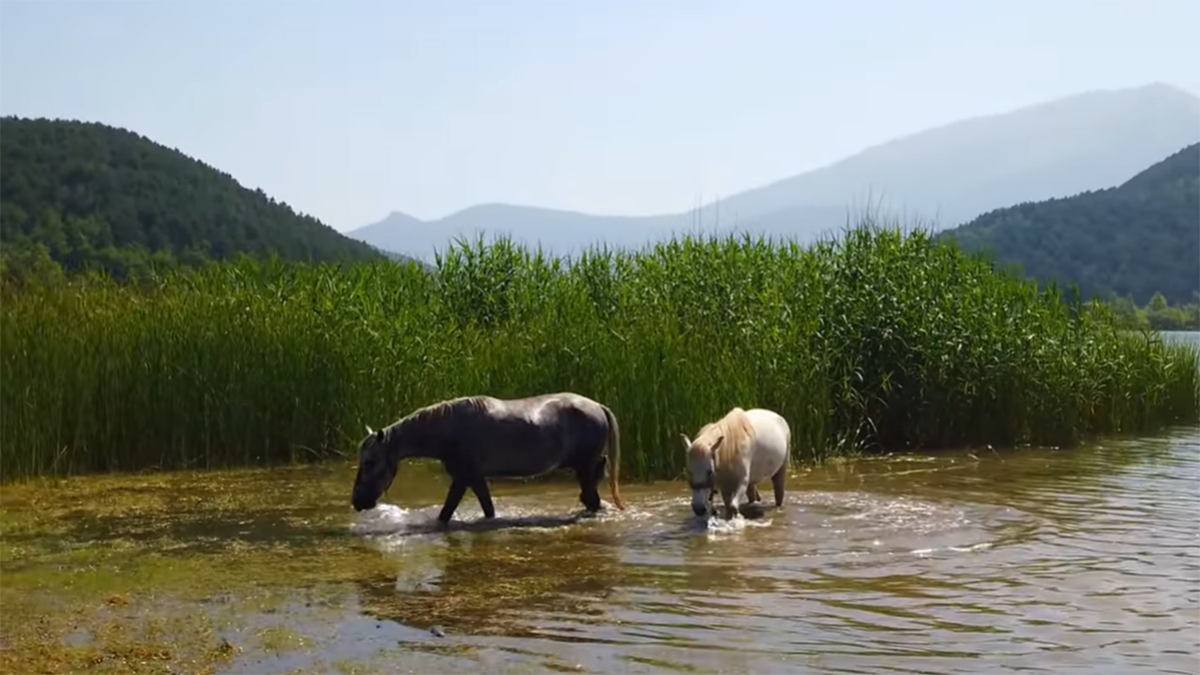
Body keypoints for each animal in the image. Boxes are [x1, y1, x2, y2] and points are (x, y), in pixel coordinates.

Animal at [350, 391, 624, 523]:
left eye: (370, 462)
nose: (357, 502)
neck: (449, 428)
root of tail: (597, 406)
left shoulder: (463, 478)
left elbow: (446, 513)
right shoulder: (475, 479)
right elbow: (488, 509)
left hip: (584, 468)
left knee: (592, 500)